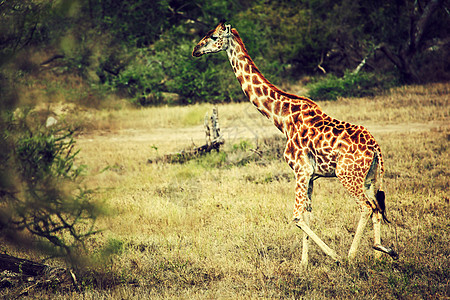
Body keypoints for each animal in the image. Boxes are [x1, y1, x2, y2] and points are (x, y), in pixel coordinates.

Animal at [192, 21, 398, 264]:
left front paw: (332, 256)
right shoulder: (311, 175)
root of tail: (375, 147)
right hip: (369, 177)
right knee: (376, 207)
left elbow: (297, 217)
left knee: (366, 207)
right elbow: (308, 215)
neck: (282, 118)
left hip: (346, 174)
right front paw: (304, 263)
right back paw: (380, 252)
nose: (195, 50)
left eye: (213, 37)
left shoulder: (300, 170)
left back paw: (351, 255)